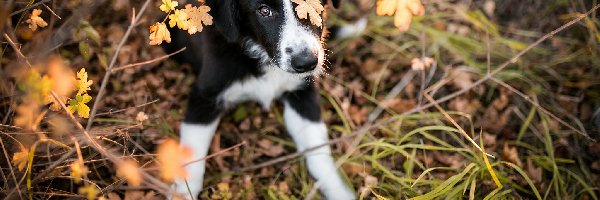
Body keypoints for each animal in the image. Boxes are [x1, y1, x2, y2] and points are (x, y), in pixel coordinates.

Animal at [162, 0, 354, 198]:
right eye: (264, 11)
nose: (306, 62)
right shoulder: (205, 95)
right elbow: (192, 148)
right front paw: (183, 192)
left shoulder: (302, 93)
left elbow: (317, 147)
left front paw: (338, 190)